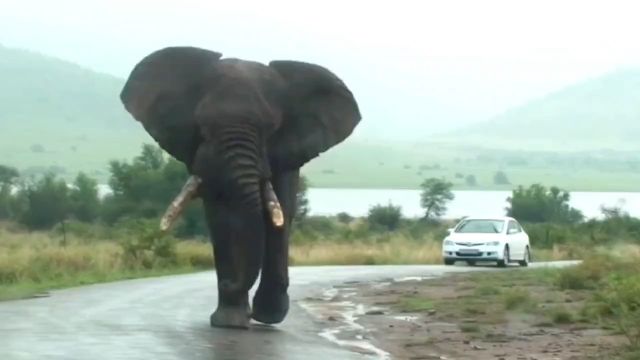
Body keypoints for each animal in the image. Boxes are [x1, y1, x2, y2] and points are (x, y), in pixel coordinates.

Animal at [118, 47, 362, 330]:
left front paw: (250, 316)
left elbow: (276, 213)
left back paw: (267, 314)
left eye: (271, 128)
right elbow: (223, 217)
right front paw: (230, 322)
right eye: (202, 125)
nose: (228, 283)